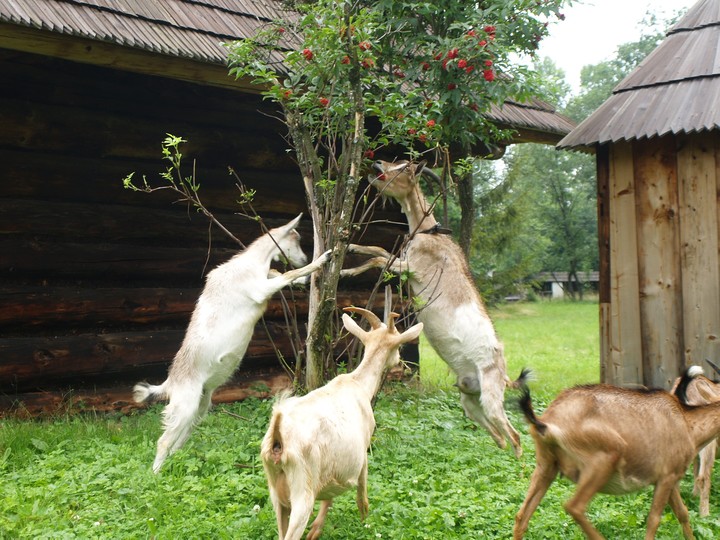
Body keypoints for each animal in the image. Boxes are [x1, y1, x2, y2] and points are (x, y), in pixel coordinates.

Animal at [134, 214, 332, 472]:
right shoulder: (259, 289)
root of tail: (171, 382)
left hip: (200, 406)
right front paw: (322, 259)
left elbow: (278, 273)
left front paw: (305, 276)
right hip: (185, 405)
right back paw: (155, 474)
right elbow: (284, 275)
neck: (251, 263)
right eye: (296, 238)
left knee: (179, 439)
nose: (305, 258)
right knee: (164, 441)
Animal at [262, 292, 422, 540]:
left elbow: (329, 496)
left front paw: (316, 530)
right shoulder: (363, 452)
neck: (358, 384)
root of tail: (278, 439)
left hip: (276, 493)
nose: (401, 363)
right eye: (398, 344)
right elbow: (362, 495)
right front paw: (365, 523)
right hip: (302, 489)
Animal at [340, 159, 524, 456]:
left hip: (492, 397)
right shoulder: (403, 261)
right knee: (499, 436)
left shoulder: (411, 267)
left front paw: (345, 270)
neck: (430, 233)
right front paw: (350, 251)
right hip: (470, 400)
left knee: (514, 435)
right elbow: (378, 250)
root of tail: (504, 372)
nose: (378, 163)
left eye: (404, 169)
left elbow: (379, 259)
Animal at [512, 368, 720, 540]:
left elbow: (682, 513)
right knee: (574, 507)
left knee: (522, 516)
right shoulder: (667, 477)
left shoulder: (667, 479)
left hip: (546, 466)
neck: (687, 424)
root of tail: (546, 423)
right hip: (603, 460)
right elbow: (654, 519)